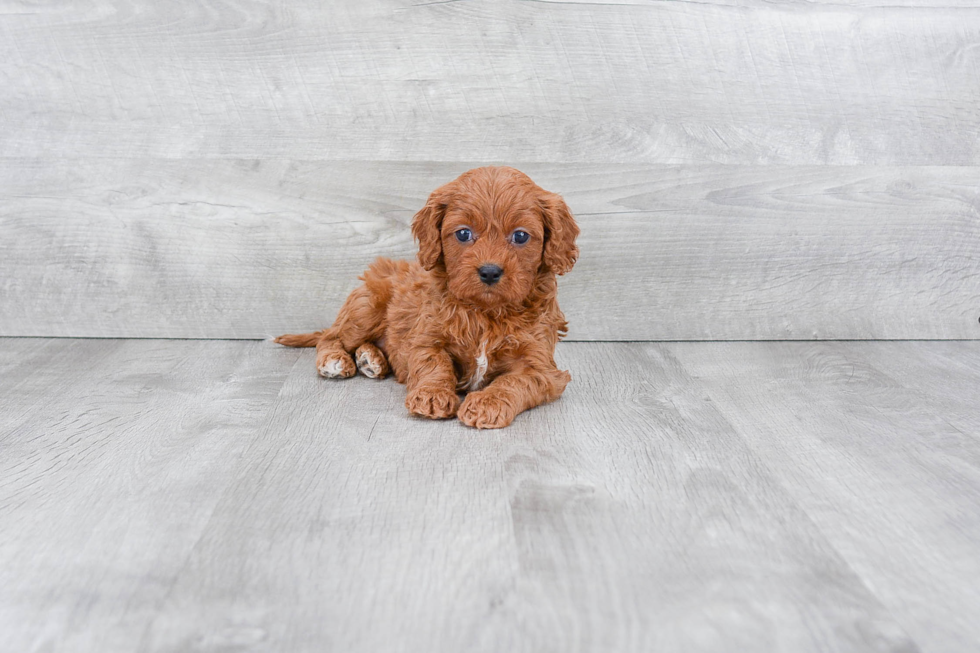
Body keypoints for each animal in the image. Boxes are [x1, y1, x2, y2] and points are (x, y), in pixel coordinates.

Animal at [276, 167, 580, 428]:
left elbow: (513, 382)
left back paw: (370, 359)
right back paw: (337, 360)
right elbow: (434, 364)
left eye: (520, 236)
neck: (485, 312)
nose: (490, 272)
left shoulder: (540, 365)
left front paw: (488, 402)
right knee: (331, 336)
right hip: (366, 306)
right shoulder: (425, 339)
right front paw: (432, 395)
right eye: (463, 233)